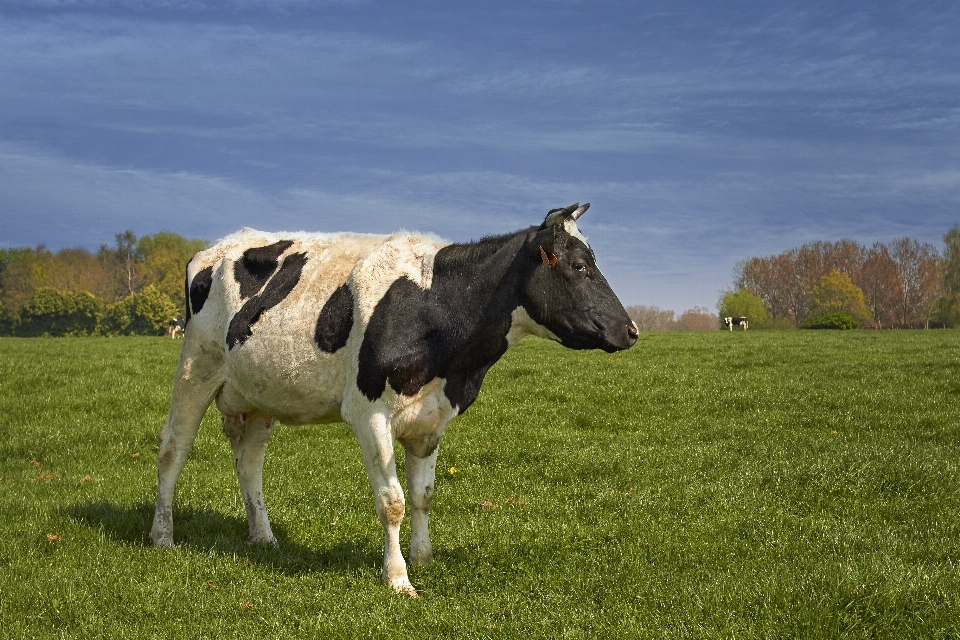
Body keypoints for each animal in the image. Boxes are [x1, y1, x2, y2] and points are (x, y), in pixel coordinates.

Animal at [150, 202, 636, 596]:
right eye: (578, 266)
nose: (630, 330)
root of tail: (217, 246)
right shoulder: (370, 414)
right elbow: (393, 501)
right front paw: (398, 578)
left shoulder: (431, 418)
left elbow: (423, 495)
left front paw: (422, 558)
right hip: (196, 366)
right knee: (173, 448)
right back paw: (162, 536)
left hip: (259, 394)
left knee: (250, 462)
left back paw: (263, 536)